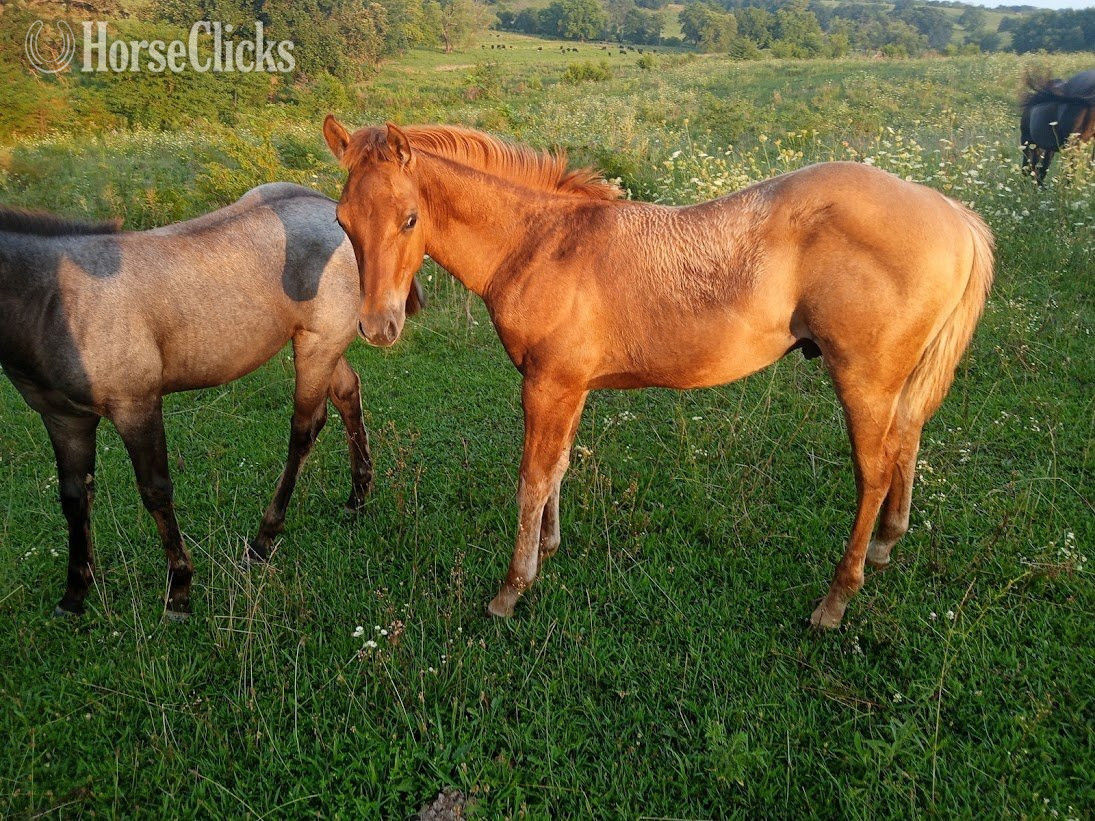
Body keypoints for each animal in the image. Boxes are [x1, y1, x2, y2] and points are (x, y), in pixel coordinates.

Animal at [0, 183, 424, 619]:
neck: (54, 299)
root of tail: (327, 204)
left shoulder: (136, 406)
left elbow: (155, 491)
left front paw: (179, 590)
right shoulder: (63, 418)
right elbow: (74, 498)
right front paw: (74, 593)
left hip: (317, 345)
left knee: (304, 429)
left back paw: (263, 539)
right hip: (322, 344)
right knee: (346, 394)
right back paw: (357, 498)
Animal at [322, 119, 994, 629]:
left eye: (410, 218)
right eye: (343, 221)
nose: (378, 326)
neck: (542, 243)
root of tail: (950, 211)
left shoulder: (546, 385)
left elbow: (532, 478)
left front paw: (512, 588)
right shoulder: (571, 387)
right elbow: (559, 466)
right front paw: (549, 548)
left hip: (864, 382)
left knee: (873, 471)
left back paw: (834, 602)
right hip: (894, 385)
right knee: (906, 442)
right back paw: (885, 547)